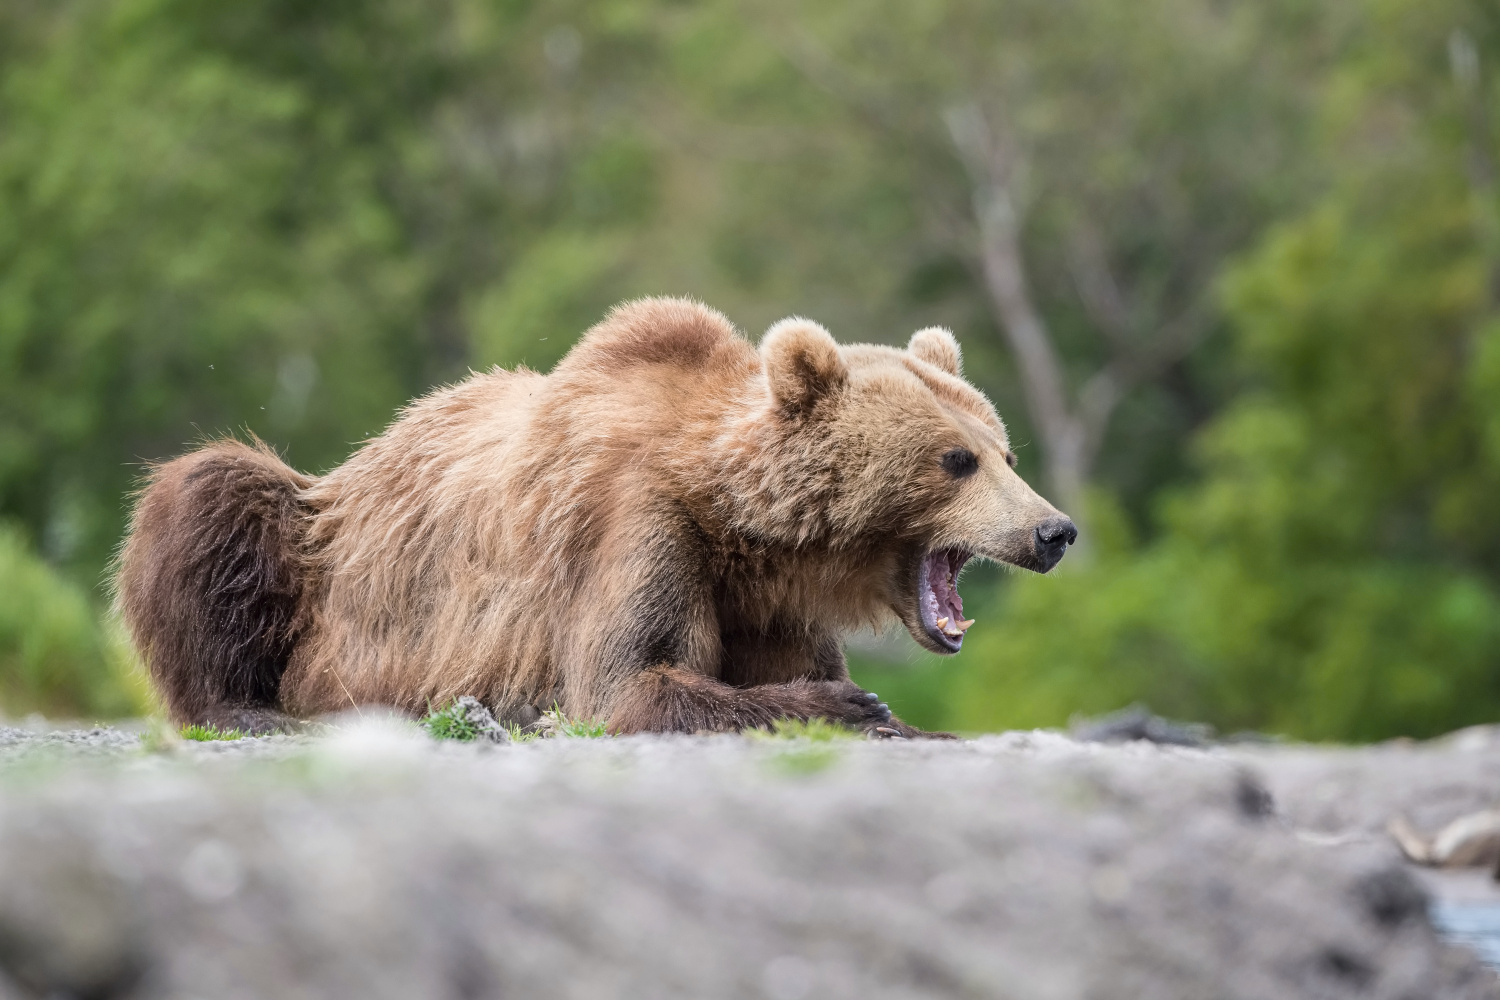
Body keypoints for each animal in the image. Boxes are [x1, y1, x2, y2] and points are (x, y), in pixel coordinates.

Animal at [120, 296, 1080, 734]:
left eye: (1004, 451)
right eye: (955, 459)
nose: (1055, 530)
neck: (745, 530)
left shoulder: (766, 601)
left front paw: (895, 714)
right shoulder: (640, 527)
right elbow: (628, 683)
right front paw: (852, 702)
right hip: (320, 556)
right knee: (211, 494)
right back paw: (248, 706)